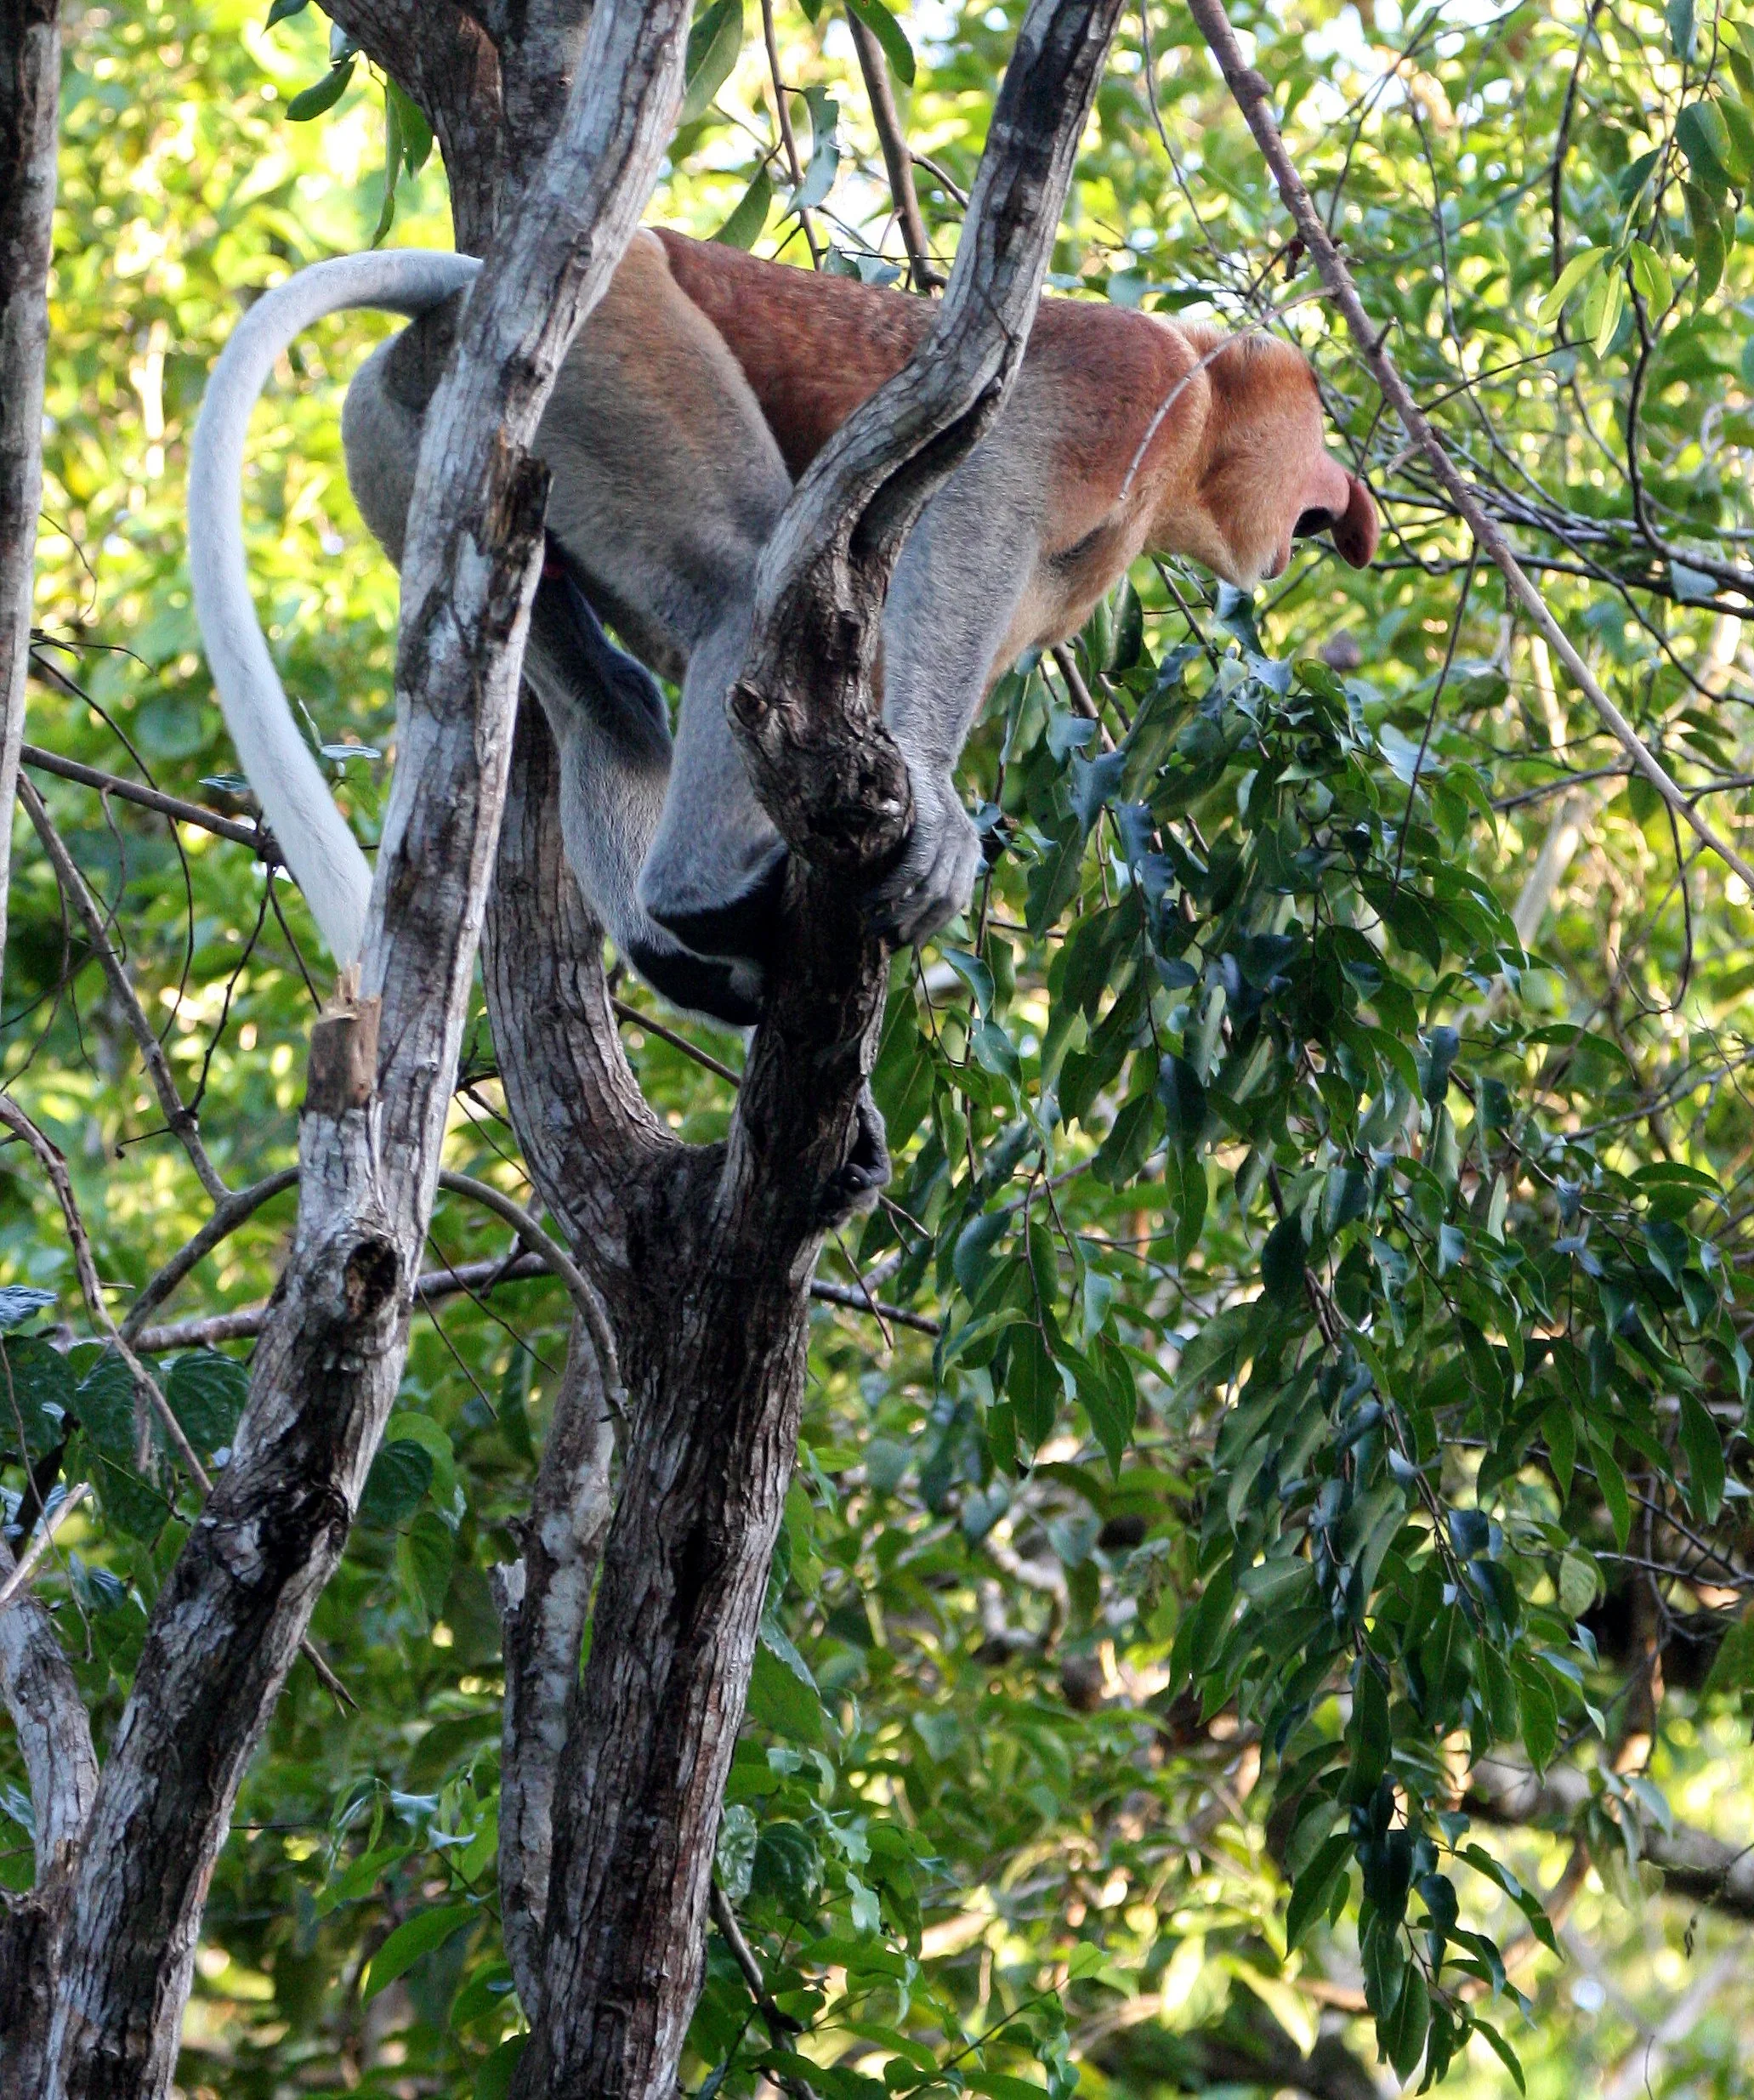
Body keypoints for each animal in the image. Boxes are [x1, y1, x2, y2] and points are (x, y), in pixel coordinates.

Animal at [189, 230, 1376, 1027]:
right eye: (1316, 413)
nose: (1344, 500)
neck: (1196, 432)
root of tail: (461, 296)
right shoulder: (1125, 384)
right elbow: (971, 512)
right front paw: (937, 816)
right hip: (616, 351)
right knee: (737, 580)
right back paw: (708, 900)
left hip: (410, 452)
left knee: (604, 702)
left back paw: (690, 954)